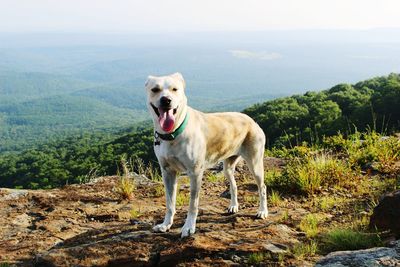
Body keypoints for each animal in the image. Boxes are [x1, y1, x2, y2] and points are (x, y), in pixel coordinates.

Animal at [145, 72, 268, 238]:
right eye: (155, 89)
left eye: (174, 89)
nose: (166, 100)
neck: (174, 132)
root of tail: (251, 119)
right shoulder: (167, 172)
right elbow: (170, 203)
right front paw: (165, 225)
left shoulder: (195, 173)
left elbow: (193, 204)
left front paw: (188, 227)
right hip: (227, 167)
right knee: (234, 185)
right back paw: (233, 206)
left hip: (255, 163)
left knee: (262, 187)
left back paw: (262, 211)